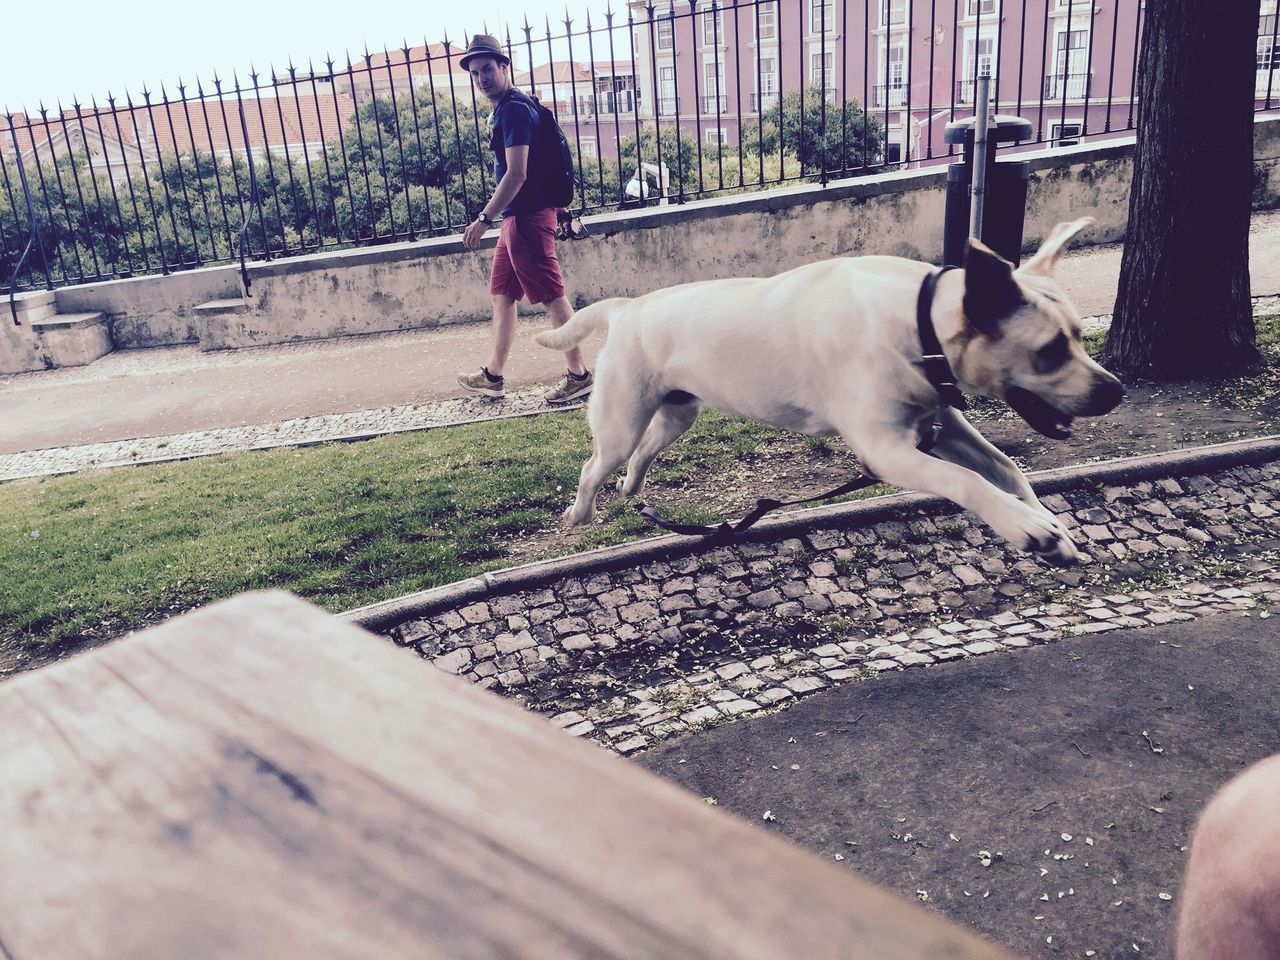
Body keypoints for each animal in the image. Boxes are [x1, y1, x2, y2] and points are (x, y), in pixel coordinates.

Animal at [535, 220, 1126, 563]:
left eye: (1078, 335)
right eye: (1051, 349)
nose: (1115, 390)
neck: (917, 323)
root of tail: (627, 306)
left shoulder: (944, 428)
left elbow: (1007, 469)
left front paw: (1047, 524)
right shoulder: (888, 451)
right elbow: (967, 481)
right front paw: (1025, 526)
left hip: (677, 415)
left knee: (641, 455)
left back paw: (632, 488)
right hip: (620, 421)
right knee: (594, 466)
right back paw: (580, 514)